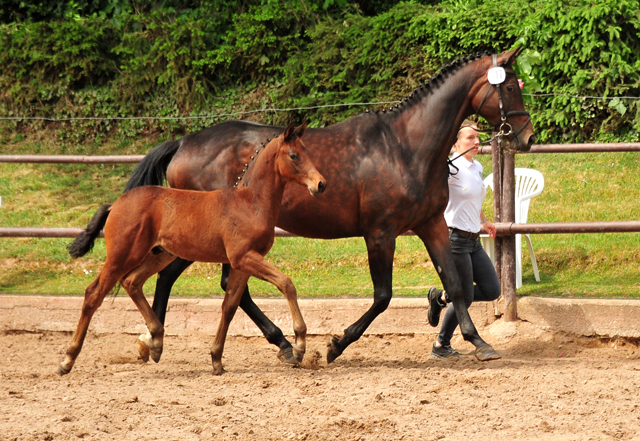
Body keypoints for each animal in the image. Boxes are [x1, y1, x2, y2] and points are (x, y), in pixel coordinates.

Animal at [60, 121, 324, 374]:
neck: (250, 203)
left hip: (159, 255)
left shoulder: (241, 263)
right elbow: (286, 283)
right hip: (122, 255)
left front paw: (216, 359)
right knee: (94, 293)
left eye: (307, 151)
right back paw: (68, 359)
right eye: (293, 155)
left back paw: (155, 341)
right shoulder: (243, 257)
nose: (320, 184)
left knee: (132, 281)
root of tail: (115, 204)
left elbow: (229, 306)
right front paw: (299, 345)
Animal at [100, 48, 536, 364]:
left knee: (191, 281)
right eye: (510, 88)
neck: (407, 147)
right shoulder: (380, 232)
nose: (527, 137)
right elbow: (383, 296)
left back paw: (156, 341)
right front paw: (335, 345)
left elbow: (456, 284)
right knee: (207, 283)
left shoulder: (432, 224)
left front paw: (478, 342)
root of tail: (184, 143)